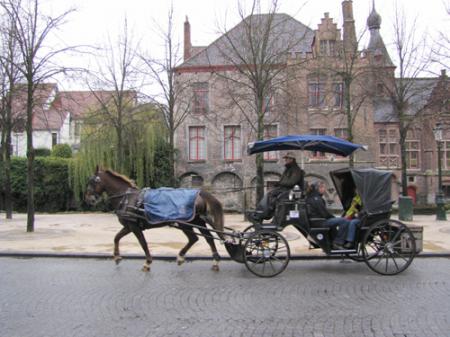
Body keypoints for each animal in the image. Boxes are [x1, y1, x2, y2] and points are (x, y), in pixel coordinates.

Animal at [83, 167, 224, 272]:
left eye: (92, 182)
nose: (89, 199)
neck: (127, 198)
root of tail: (199, 193)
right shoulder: (128, 226)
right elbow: (116, 237)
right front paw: (117, 256)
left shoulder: (134, 227)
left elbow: (143, 243)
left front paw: (148, 262)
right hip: (198, 221)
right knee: (206, 238)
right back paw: (212, 260)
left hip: (187, 223)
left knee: (196, 238)